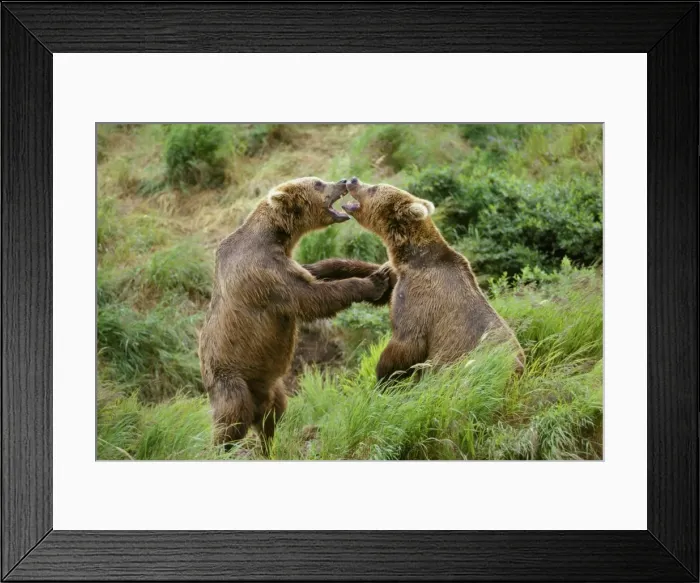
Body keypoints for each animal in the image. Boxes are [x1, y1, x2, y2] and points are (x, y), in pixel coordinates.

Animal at [198, 176, 391, 450]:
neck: (276, 237)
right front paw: (374, 281)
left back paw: (268, 445)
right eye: (318, 183)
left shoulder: (282, 264)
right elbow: (308, 298)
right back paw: (221, 447)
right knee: (232, 418)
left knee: (273, 415)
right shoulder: (265, 275)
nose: (343, 181)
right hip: (231, 378)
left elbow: (312, 278)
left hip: (271, 385)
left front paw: (323, 266)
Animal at [341, 177, 525, 383]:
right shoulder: (400, 278)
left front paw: (383, 376)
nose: (353, 180)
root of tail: (519, 373)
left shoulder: (420, 295)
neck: (411, 257)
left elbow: (407, 340)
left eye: (374, 188)